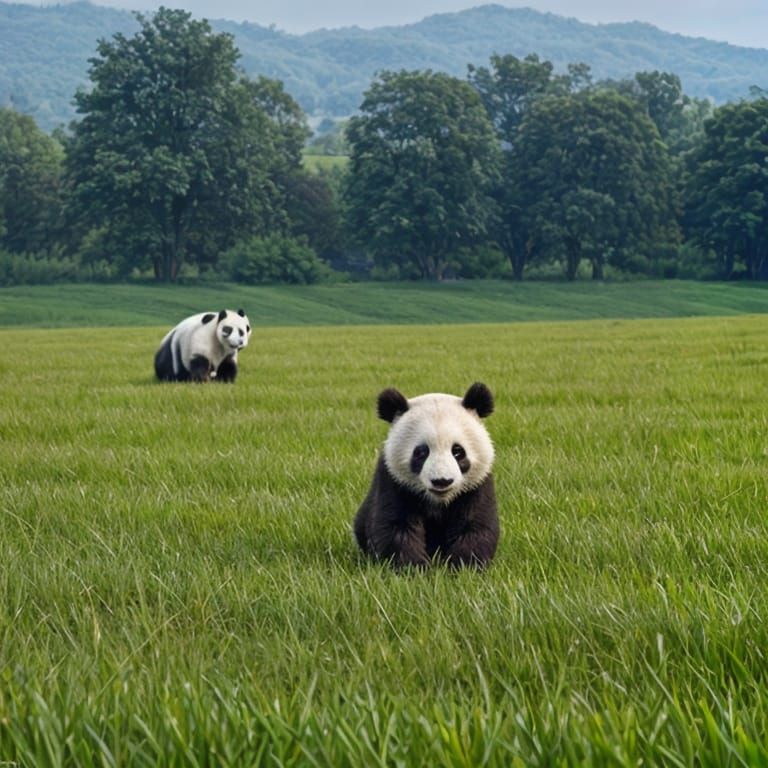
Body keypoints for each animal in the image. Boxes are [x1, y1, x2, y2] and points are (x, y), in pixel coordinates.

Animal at [354, 382, 499, 569]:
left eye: (458, 451)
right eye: (421, 452)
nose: (442, 481)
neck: (438, 500)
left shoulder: (476, 485)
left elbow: (474, 524)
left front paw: (465, 566)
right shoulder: (394, 481)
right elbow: (396, 525)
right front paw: (414, 567)